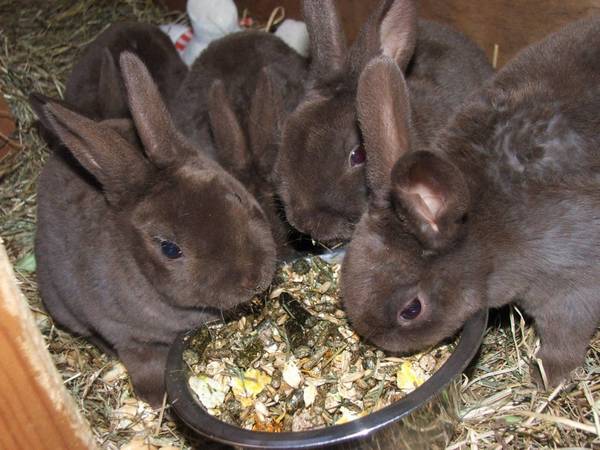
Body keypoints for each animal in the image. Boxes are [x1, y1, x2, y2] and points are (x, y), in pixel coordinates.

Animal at [32, 53, 276, 408]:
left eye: (237, 196)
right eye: (170, 249)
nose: (253, 278)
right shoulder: (127, 334)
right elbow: (144, 364)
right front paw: (159, 398)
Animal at [342, 15, 600, 388]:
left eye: (411, 310)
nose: (380, 342)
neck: (484, 231)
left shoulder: (572, 288)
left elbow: (563, 338)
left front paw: (545, 379)